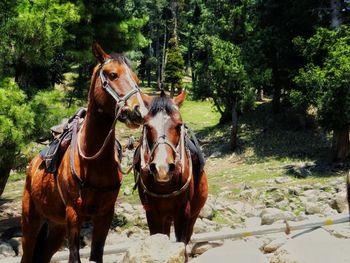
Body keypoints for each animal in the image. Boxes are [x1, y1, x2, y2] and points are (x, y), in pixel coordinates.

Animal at [21, 43, 148, 263]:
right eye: (112, 74)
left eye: (136, 79)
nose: (138, 111)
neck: (93, 159)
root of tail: (31, 167)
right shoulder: (74, 214)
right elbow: (74, 257)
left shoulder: (105, 215)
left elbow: (96, 254)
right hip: (31, 223)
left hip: (56, 227)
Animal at [136, 92, 208, 246]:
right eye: (147, 126)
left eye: (178, 125)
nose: (162, 169)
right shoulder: (152, 214)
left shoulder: (183, 212)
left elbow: (181, 241)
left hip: (193, 215)